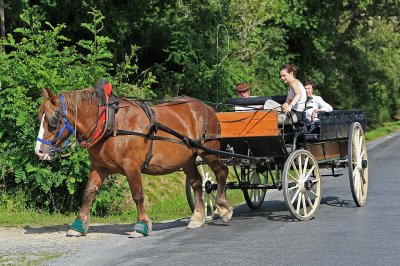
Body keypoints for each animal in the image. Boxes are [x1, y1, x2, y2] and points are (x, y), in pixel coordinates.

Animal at [35, 83, 234, 237]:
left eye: (53, 120)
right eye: (40, 117)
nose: (39, 151)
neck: (111, 123)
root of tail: (207, 108)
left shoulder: (131, 167)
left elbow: (137, 195)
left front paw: (142, 225)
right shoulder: (99, 167)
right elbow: (89, 192)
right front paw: (78, 225)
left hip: (208, 152)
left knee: (221, 172)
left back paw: (223, 207)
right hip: (188, 159)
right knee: (197, 183)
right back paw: (198, 217)